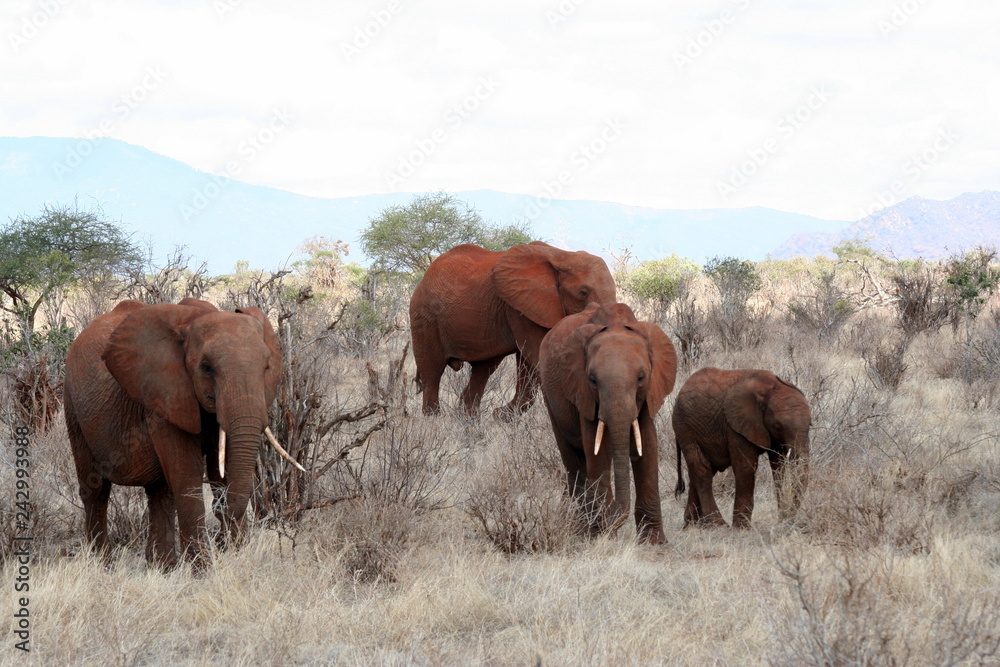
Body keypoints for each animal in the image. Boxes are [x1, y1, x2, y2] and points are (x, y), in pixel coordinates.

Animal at [63, 298, 303, 567]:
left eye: (266, 367)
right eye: (207, 367)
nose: (221, 509)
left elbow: (219, 467)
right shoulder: (166, 397)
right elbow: (186, 475)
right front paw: (203, 571)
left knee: (159, 491)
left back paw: (162, 567)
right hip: (72, 407)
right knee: (96, 489)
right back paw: (103, 563)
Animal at [409, 241, 616, 416]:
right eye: (583, 292)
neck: (562, 256)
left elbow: (527, 363)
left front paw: (498, 417)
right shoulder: (519, 308)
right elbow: (536, 357)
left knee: (482, 371)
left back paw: (469, 423)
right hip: (424, 316)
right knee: (432, 372)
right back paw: (435, 422)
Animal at [539, 302, 677, 544]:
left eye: (641, 377)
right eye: (593, 380)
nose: (611, 516)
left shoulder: (649, 393)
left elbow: (648, 444)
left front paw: (654, 542)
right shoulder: (582, 391)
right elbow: (597, 449)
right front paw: (599, 534)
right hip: (549, 395)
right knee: (574, 462)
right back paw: (582, 530)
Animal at [672, 368, 811, 530]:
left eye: (810, 425)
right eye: (778, 426)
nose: (787, 520)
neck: (772, 386)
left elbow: (778, 466)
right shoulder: (735, 425)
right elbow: (745, 467)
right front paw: (742, 529)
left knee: (702, 470)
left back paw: (692, 526)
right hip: (685, 427)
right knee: (702, 468)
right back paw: (718, 525)